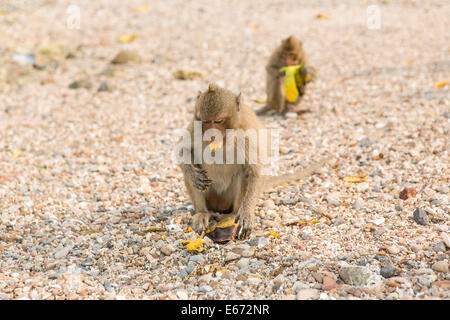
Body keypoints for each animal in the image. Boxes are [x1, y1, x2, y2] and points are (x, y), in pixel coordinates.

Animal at [178, 84, 326, 239]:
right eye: (206, 121)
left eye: (218, 121)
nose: (212, 134)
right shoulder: (195, 126)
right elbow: (183, 150)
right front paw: (194, 175)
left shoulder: (247, 133)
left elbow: (256, 171)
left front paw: (247, 213)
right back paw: (202, 212)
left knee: (244, 175)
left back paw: (232, 215)